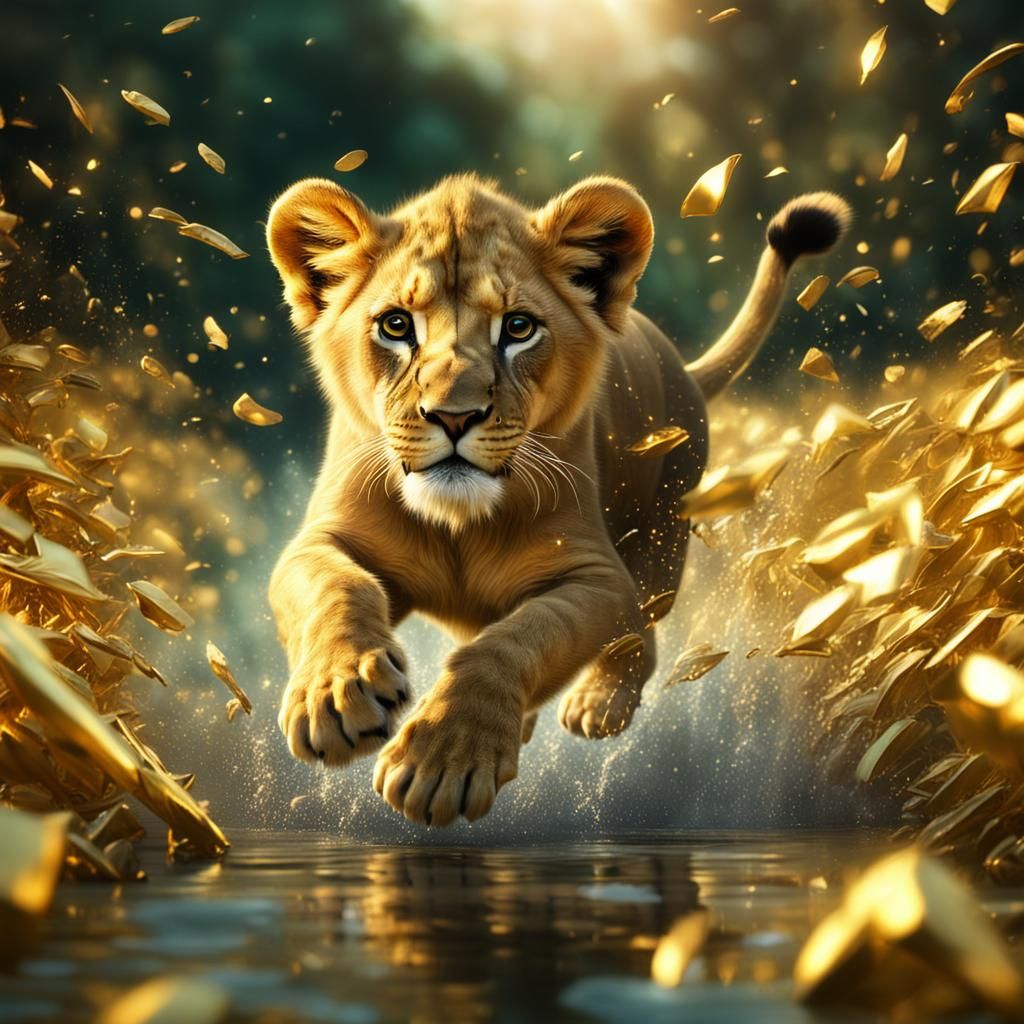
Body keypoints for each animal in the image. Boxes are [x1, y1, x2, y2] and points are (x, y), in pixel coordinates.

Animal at [266, 172, 850, 827]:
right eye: (395, 325)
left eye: (518, 328)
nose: (453, 415)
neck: (459, 523)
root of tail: (681, 364)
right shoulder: (320, 541)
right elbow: (338, 589)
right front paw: (338, 695)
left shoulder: (598, 577)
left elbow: (518, 639)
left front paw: (443, 759)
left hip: (662, 537)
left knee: (639, 631)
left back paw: (598, 702)